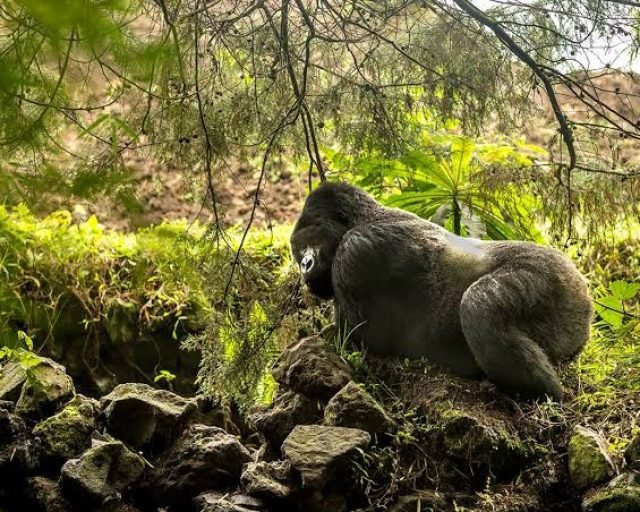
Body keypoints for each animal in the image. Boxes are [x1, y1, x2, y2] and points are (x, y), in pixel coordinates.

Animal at [290, 181, 593, 401]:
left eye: (309, 239)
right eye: (297, 250)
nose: (305, 265)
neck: (364, 219)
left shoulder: (357, 250)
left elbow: (362, 340)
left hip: (557, 279)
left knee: (478, 304)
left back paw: (540, 390)